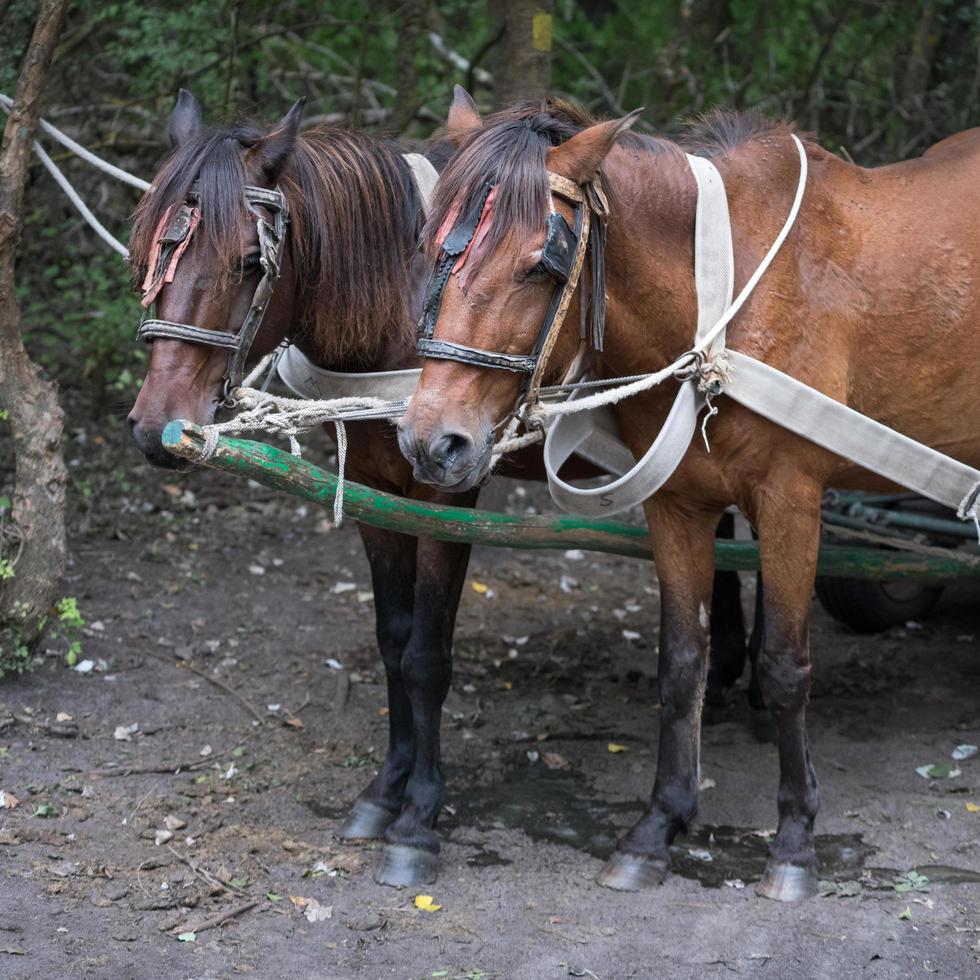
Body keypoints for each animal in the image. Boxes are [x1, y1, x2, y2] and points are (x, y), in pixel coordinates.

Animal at [130, 90, 756, 888]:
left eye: (248, 260)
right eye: (147, 250)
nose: (156, 427)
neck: (401, 307)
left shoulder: (447, 490)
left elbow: (427, 656)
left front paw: (419, 819)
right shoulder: (378, 491)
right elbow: (393, 642)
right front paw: (385, 791)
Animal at [396, 94, 980, 904]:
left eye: (540, 266)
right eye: (431, 251)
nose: (432, 442)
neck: (720, 300)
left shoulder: (792, 501)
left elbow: (784, 665)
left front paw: (794, 839)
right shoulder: (676, 506)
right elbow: (681, 663)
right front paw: (658, 827)